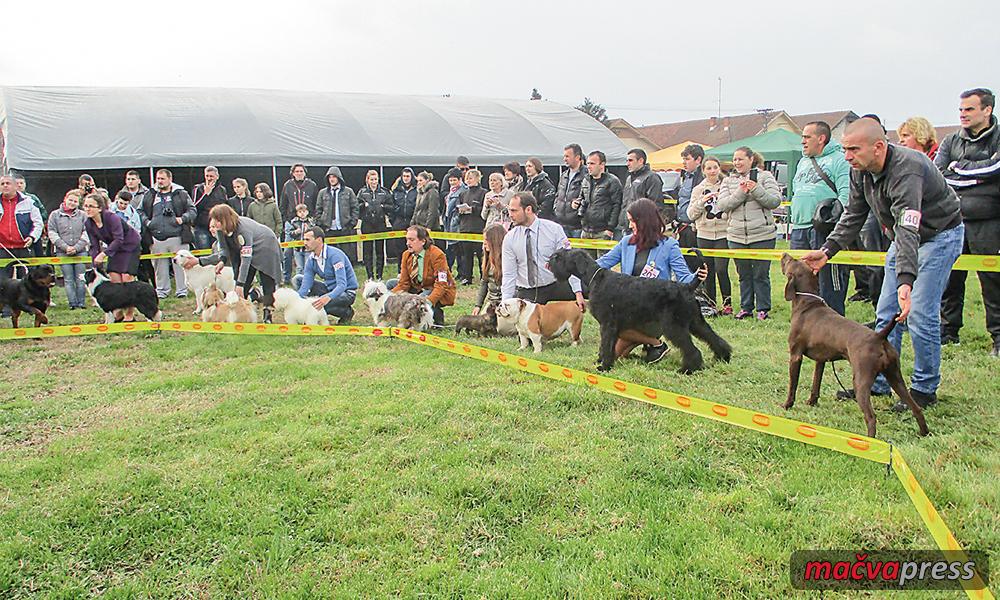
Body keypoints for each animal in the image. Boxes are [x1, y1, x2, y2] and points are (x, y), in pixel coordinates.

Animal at [544, 247, 732, 370]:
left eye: (559, 257)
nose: (549, 262)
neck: (594, 278)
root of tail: (687, 286)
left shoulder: (607, 324)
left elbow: (606, 345)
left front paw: (604, 367)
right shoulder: (611, 326)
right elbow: (607, 347)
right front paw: (601, 362)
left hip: (674, 327)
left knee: (691, 349)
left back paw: (688, 369)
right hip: (695, 322)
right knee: (712, 337)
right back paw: (723, 357)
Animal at [780, 253, 928, 436]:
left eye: (791, 261)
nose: (784, 254)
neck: (808, 303)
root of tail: (879, 337)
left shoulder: (795, 355)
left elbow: (792, 385)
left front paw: (787, 405)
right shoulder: (821, 360)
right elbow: (816, 384)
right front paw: (811, 402)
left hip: (861, 380)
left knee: (871, 417)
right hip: (895, 376)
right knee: (916, 407)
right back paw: (924, 433)